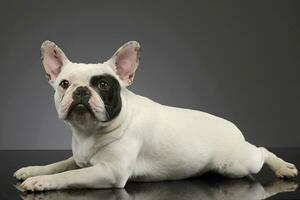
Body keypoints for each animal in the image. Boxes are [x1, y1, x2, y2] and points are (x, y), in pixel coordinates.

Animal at [14, 40, 298, 191]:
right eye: (64, 84)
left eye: (103, 85)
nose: (82, 90)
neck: (88, 132)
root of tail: (235, 130)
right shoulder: (81, 159)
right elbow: (61, 164)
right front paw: (33, 170)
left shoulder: (110, 172)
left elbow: (67, 175)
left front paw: (40, 181)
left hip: (235, 164)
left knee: (261, 151)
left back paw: (283, 167)